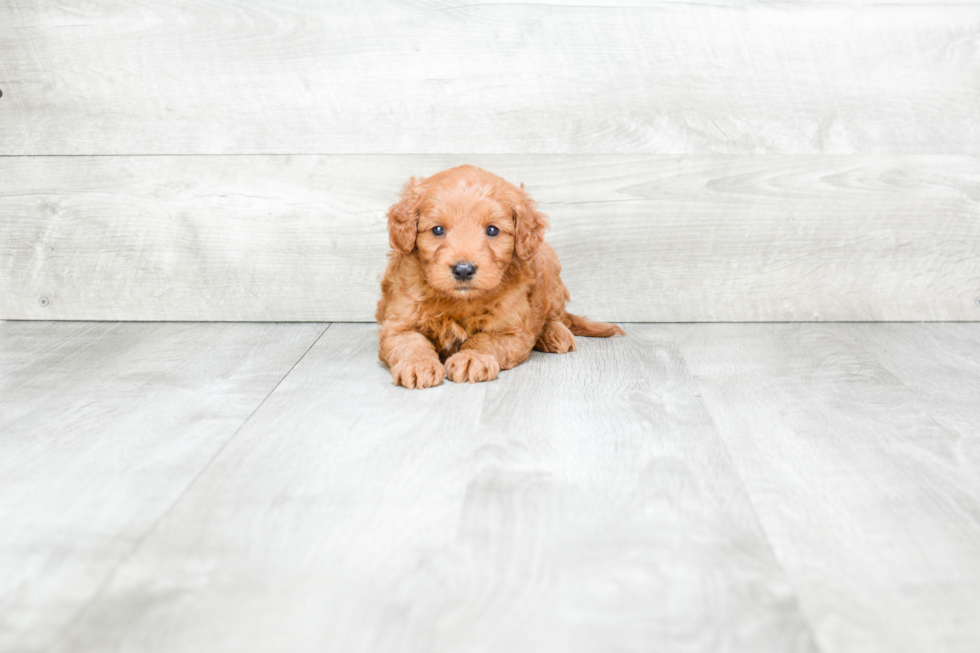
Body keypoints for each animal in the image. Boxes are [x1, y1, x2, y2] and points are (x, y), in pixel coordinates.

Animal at [376, 164, 620, 388]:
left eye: (492, 230)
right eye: (437, 230)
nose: (463, 269)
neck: (458, 302)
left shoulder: (511, 331)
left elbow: (485, 339)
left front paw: (471, 358)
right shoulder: (398, 324)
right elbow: (411, 342)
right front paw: (417, 364)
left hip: (550, 270)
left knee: (554, 315)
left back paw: (554, 334)